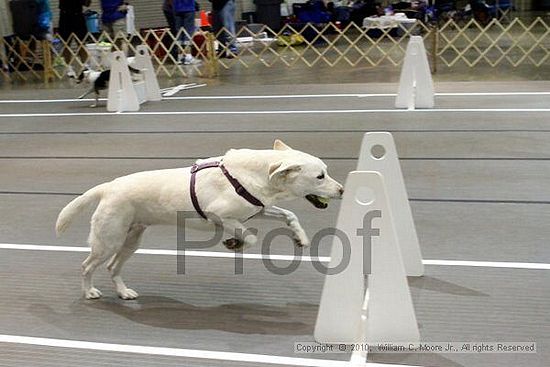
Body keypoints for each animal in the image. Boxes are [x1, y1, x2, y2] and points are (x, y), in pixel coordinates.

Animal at [55, 139, 340, 300]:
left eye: (326, 172)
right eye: (320, 176)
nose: (342, 190)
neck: (253, 175)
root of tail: (108, 186)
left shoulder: (256, 209)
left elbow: (288, 214)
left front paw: (300, 237)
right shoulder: (222, 216)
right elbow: (249, 236)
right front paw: (234, 244)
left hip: (131, 240)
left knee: (113, 268)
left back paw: (124, 293)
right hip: (109, 241)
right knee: (87, 266)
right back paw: (89, 292)